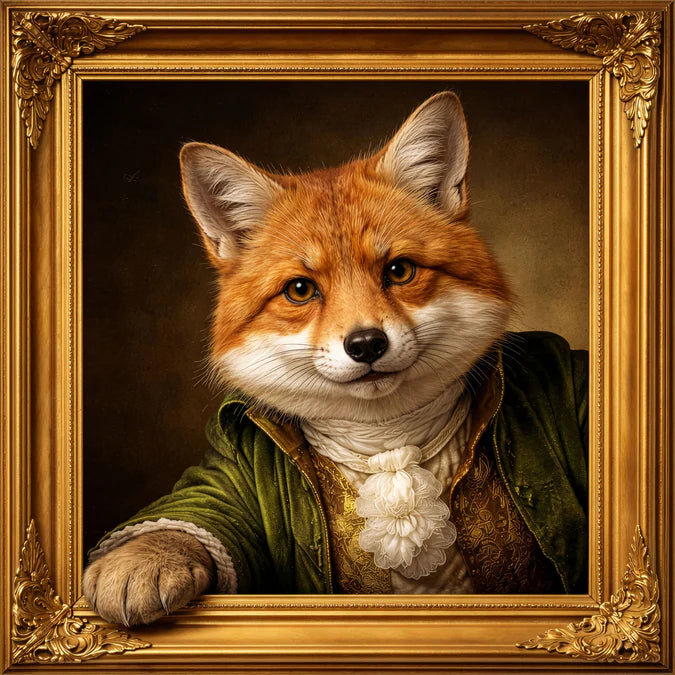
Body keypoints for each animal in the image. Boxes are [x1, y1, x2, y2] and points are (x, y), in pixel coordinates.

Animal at [83, 92, 588, 626]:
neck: (387, 444)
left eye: (399, 270)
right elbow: (190, 513)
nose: (365, 344)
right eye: (301, 290)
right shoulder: (227, 471)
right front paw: (143, 560)